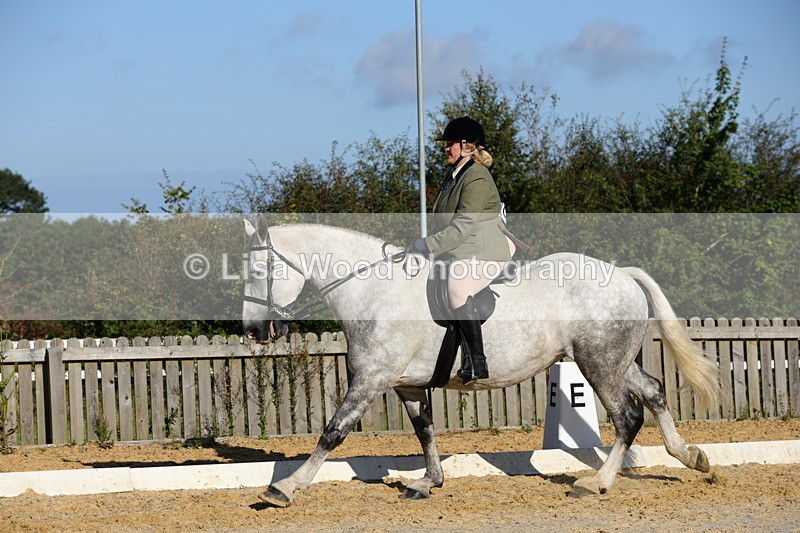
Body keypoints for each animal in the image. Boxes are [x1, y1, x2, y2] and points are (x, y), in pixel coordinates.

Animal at [242, 215, 720, 507]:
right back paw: (692, 457)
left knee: (627, 416)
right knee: (654, 392)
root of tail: (622, 274)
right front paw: (428, 482)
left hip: (598, 364)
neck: (375, 290)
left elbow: (332, 432)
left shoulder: (372, 379)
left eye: (258, 272)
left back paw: (597, 483)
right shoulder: (405, 383)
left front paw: (285, 487)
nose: (253, 331)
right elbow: (425, 432)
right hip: (613, 361)